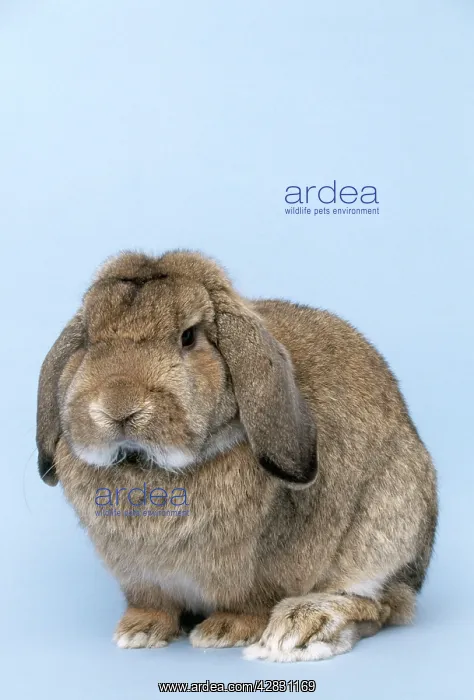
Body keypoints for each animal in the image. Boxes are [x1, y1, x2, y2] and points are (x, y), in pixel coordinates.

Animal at [36, 250, 438, 662]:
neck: (147, 466)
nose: (118, 407)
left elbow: (251, 603)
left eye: (188, 337)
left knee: (378, 605)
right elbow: (152, 604)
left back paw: (299, 630)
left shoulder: (262, 571)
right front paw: (140, 631)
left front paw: (224, 631)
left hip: (389, 526)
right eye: (87, 340)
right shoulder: (142, 578)